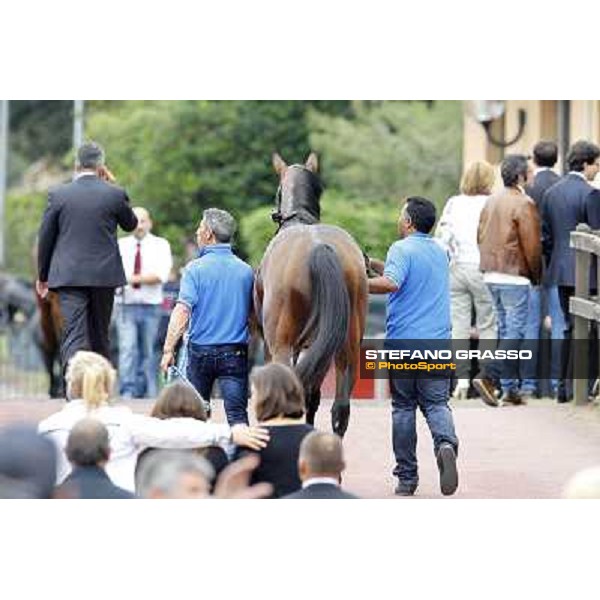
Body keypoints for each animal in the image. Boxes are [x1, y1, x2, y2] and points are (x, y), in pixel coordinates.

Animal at [252, 154, 366, 436]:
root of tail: (319, 247)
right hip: (346, 344)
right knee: (340, 408)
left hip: (281, 344)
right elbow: (314, 396)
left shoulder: (273, 345)